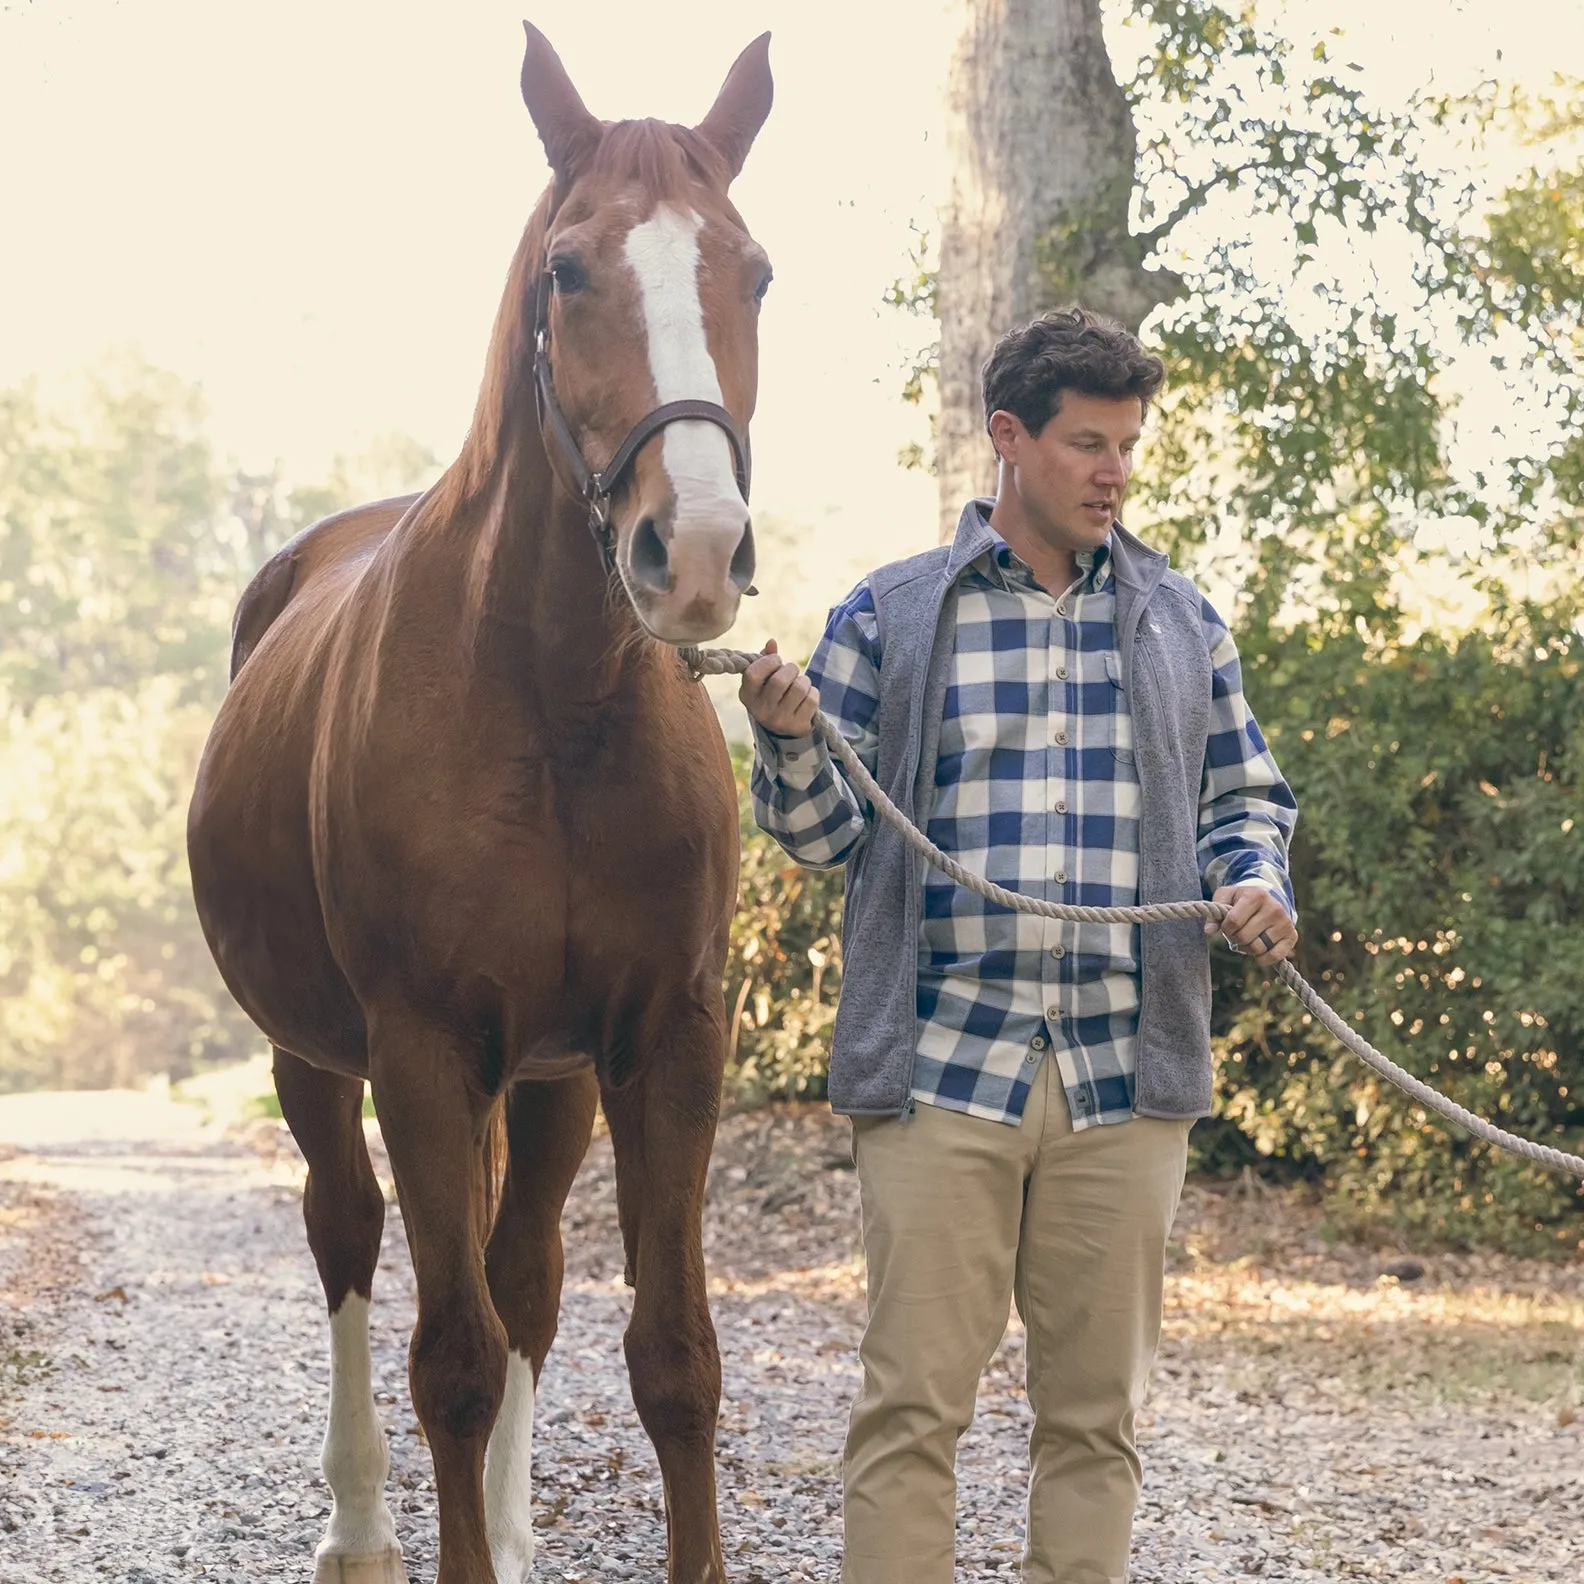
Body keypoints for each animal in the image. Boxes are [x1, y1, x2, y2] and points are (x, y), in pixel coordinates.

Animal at [185, 27, 772, 1584]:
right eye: (567, 270)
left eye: (753, 272)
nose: (693, 552)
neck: (552, 704)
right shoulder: (425, 1049)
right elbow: (446, 1358)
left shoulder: (664, 1039)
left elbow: (671, 1359)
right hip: (319, 1058)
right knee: (348, 1236)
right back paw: (356, 1528)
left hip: (553, 1075)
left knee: (527, 1278)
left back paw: (504, 1525)